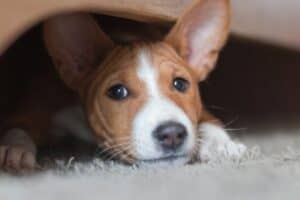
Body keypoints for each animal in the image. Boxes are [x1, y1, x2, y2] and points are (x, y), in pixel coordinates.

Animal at [0, 0, 246, 172]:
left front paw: (220, 142)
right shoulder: (39, 100)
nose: (172, 134)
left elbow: (205, 116)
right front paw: (15, 149)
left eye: (180, 83)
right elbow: (18, 125)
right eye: (117, 92)